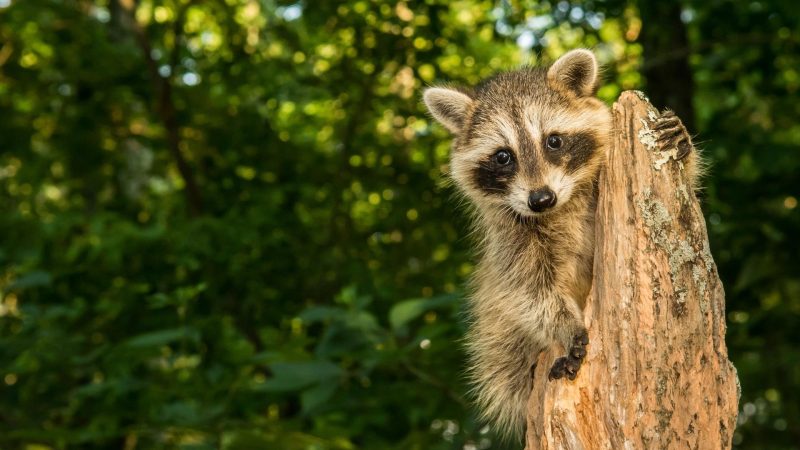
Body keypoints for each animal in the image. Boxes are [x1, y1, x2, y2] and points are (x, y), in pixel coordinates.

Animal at [424, 50, 692, 440]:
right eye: (503, 156)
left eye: (553, 141)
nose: (541, 199)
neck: (560, 207)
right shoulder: (509, 239)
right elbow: (526, 290)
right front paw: (565, 325)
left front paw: (685, 146)